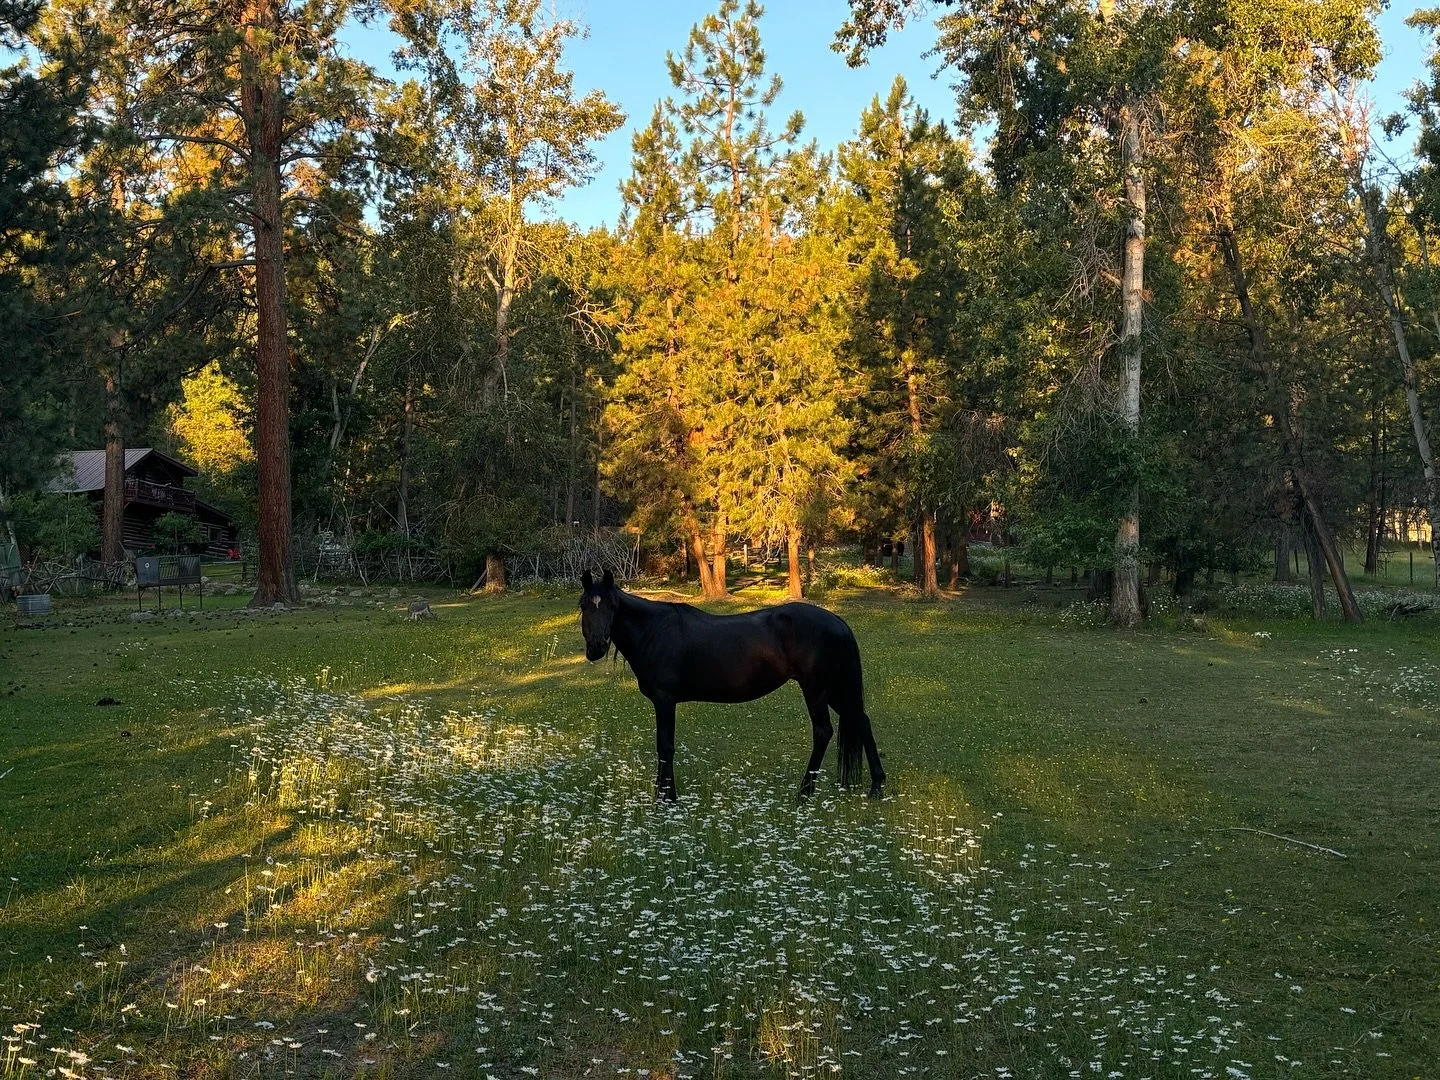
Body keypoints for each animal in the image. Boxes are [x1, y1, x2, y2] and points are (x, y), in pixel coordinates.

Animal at [577, 568, 885, 801]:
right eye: (583, 605)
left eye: (611, 607)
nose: (596, 647)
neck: (654, 630)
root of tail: (837, 621)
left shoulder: (665, 701)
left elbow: (665, 747)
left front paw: (666, 798)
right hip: (834, 689)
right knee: (861, 720)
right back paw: (876, 786)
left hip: (816, 690)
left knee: (824, 731)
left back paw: (804, 793)